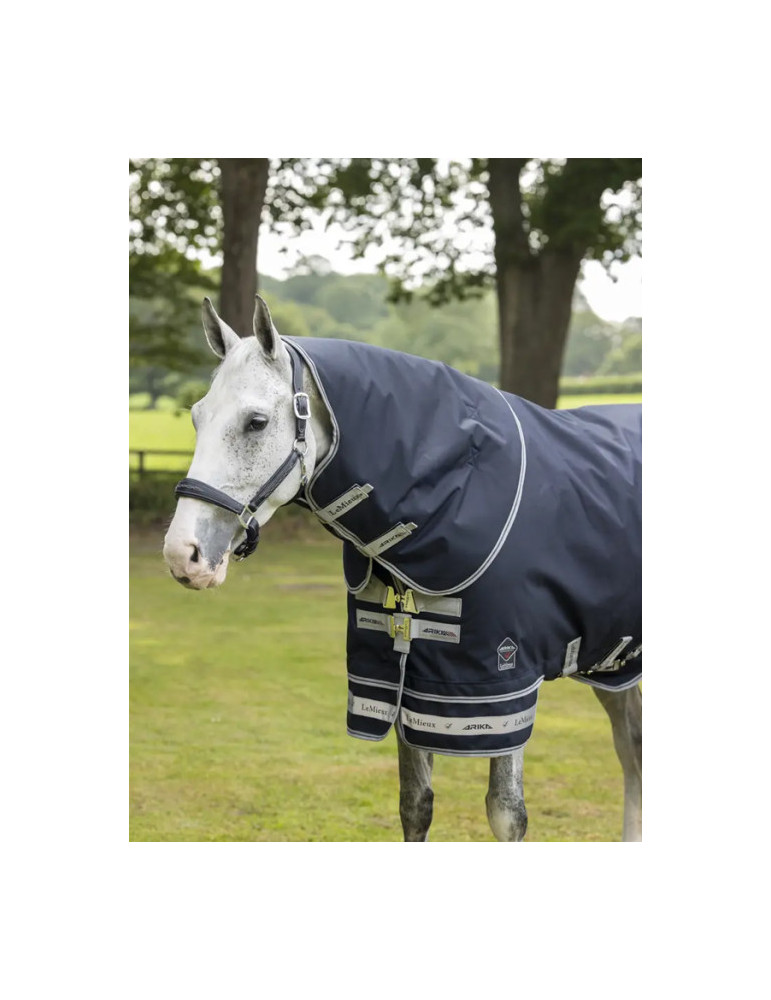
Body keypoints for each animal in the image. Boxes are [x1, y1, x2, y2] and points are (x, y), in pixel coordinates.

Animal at [163, 295, 642, 842]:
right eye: (196, 417)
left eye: (257, 422)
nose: (182, 553)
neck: (455, 492)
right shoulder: (405, 676)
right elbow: (415, 805)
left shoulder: (502, 689)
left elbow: (506, 813)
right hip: (613, 662)